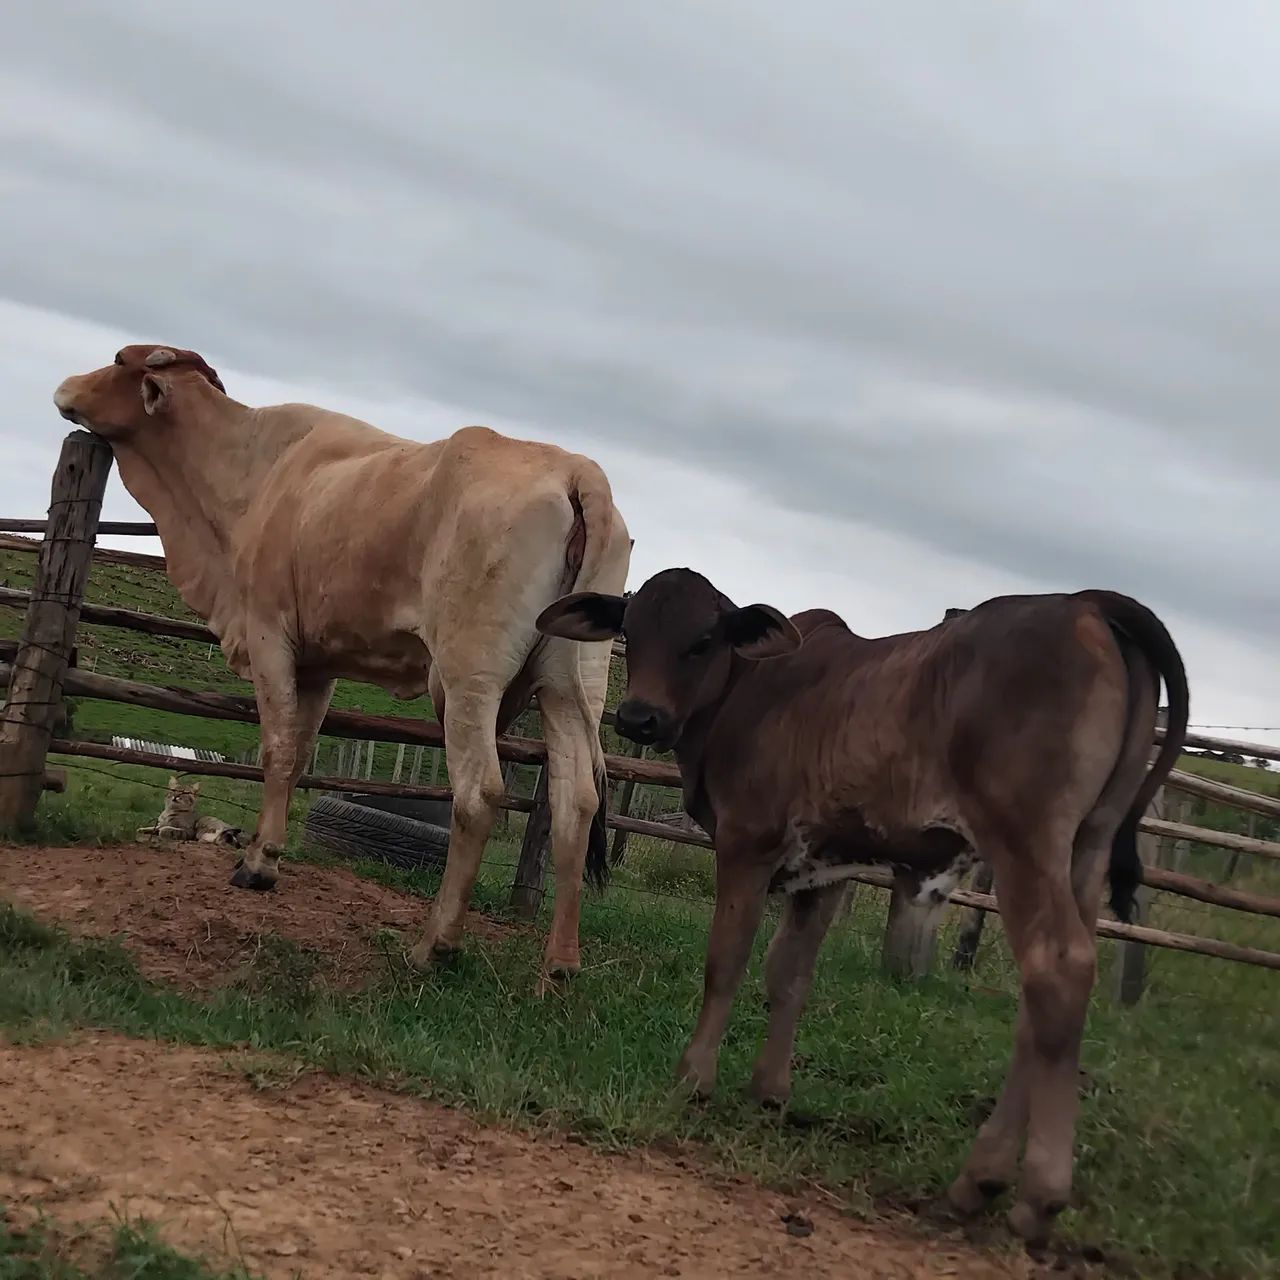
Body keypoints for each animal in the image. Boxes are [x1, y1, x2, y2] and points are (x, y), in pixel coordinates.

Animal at [53, 345, 631, 986]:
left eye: (116, 361)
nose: (65, 386)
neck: (254, 471)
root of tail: (575, 469)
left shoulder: (270, 635)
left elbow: (277, 751)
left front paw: (257, 867)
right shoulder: (319, 662)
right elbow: (301, 752)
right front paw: (267, 854)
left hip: (469, 678)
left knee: (480, 793)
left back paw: (435, 945)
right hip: (570, 684)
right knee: (576, 802)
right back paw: (559, 966)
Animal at [536, 567, 1189, 1247]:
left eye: (703, 640)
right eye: (631, 632)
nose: (639, 717)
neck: (747, 691)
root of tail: (1088, 604)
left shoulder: (748, 845)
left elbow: (727, 962)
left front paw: (695, 1078)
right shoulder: (823, 870)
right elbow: (788, 974)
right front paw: (770, 1091)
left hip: (1024, 843)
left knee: (1058, 970)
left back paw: (1028, 1191)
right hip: (1084, 853)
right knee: (1043, 1003)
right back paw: (980, 1180)